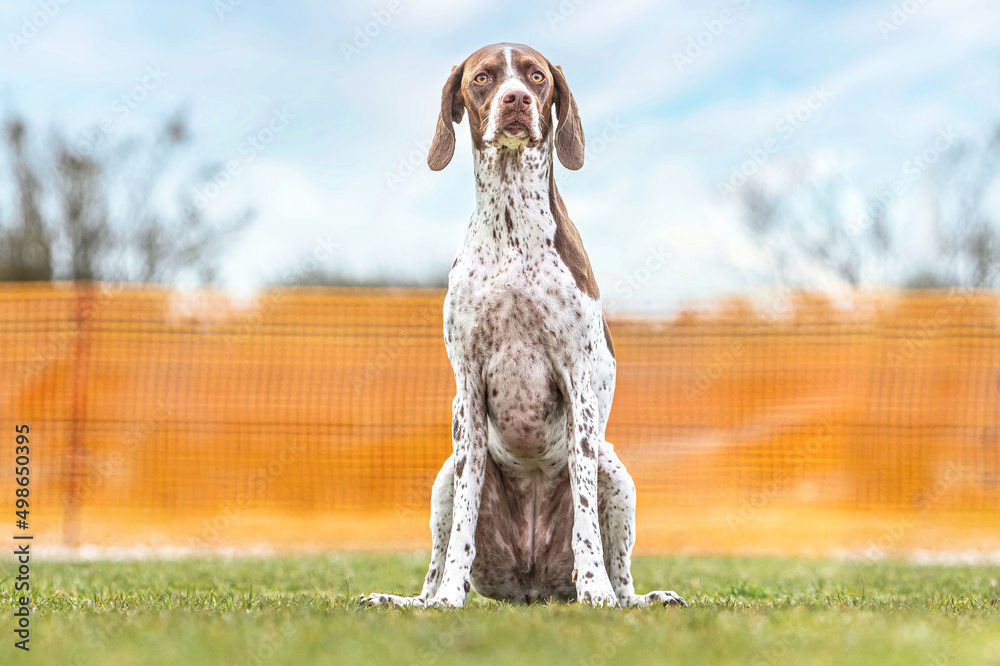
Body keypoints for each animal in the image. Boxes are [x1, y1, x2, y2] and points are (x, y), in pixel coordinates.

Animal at [365, 43, 685, 608]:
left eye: (536, 76)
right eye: (483, 77)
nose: (515, 98)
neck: (512, 225)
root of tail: (532, 588)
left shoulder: (577, 382)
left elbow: (584, 515)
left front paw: (595, 590)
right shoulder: (468, 390)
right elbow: (463, 525)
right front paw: (450, 596)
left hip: (616, 473)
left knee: (621, 571)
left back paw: (636, 597)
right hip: (443, 477)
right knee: (435, 560)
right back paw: (409, 600)